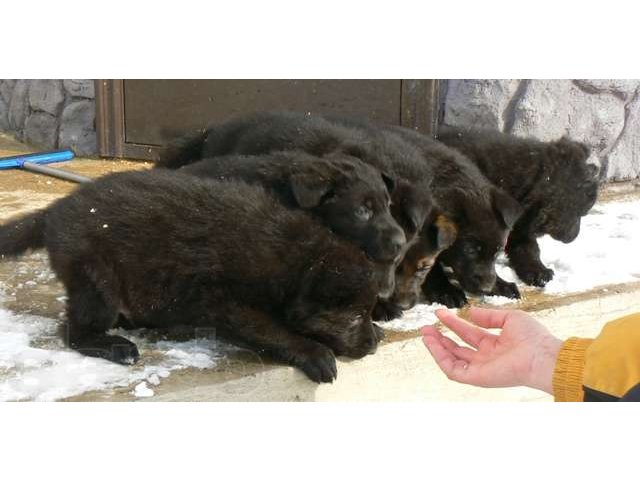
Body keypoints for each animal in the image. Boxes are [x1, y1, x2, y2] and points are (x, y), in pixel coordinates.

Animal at [0, 171, 390, 384]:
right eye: (353, 316)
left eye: (366, 312)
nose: (371, 346)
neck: (298, 260)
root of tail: (54, 210)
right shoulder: (231, 304)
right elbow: (276, 330)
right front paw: (313, 351)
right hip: (96, 282)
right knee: (74, 331)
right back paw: (113, 345)